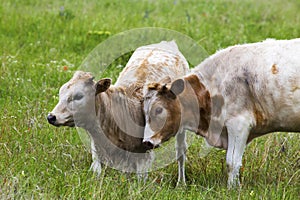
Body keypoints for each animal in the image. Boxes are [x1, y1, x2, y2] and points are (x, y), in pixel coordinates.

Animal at [47, 41, 189, 183]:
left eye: (78, 96)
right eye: (60, 93)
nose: (51, 117)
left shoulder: (144, 155)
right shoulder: (98, 151)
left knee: (180, 152)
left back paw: (181, 182)